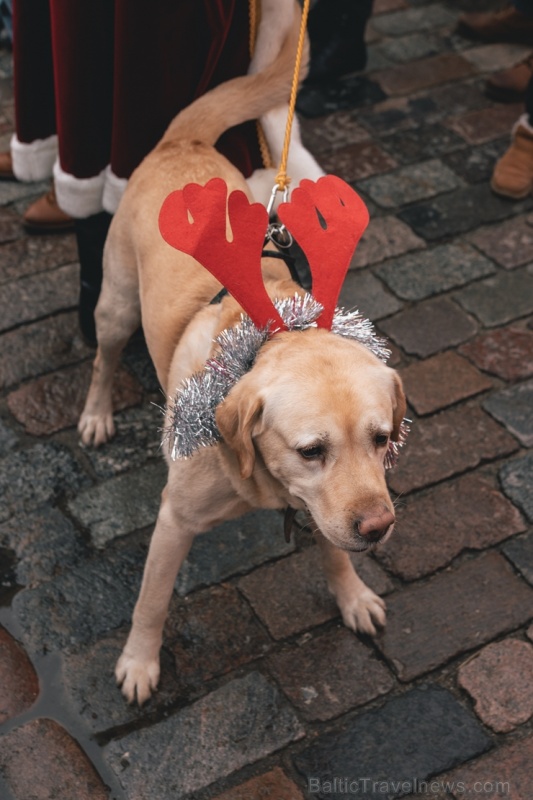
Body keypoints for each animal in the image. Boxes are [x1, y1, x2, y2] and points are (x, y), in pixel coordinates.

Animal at [78, 3, 404, 704]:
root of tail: (184, 143)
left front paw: (354, 596)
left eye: (382, 438)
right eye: (311, 450)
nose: (378, 527)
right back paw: (95, 414)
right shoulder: (174, 521)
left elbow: (332, 549)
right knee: (103, 358)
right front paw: (139, 664)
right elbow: (151, 601)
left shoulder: (320, 511)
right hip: (114, 303)